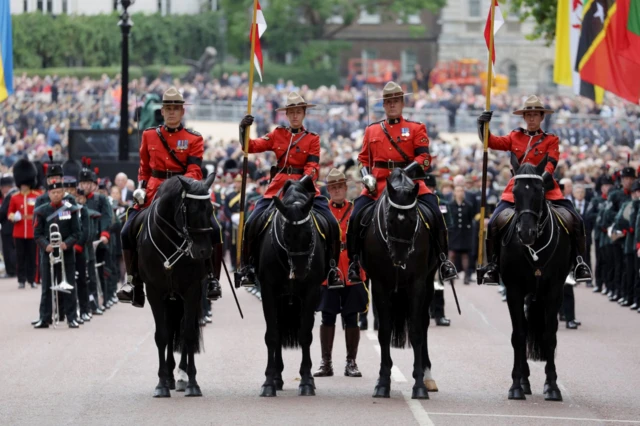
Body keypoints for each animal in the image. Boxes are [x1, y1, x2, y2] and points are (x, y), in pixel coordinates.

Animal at [134, 174, 216, 400]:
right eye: (191, 210)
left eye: (210, 210)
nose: (204, 251)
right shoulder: (154, 292)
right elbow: (162, 335)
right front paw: (162, 383)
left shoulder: (191, 291)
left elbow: (188, 334)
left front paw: (192, 383)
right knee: (170, 330)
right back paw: (170, 377)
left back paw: (181, 375)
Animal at [254, 179, 328, 396]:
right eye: (286, 234)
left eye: (310, 233)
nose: (302, 272)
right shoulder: (268, 292)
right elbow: (272, 335)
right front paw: (268, 382)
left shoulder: (311, 292)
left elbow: (305, 335)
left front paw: (307, 381)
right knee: (277, 332)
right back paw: (277, 378)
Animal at [360, 169, 440, 400]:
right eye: (390, 219)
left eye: (413, 219)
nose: (399, 257)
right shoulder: (379, 284)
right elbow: (384, 331)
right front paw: (383, 382)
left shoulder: (418, 283)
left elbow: (416, 331)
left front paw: (419, 384)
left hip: (429, 284)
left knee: (423, 324)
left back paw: (428, 376)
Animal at [500, 155, 568, 402]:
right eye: (515, 190)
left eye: (539, 190)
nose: (526, 233)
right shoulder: (514, 290)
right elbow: (519, 335)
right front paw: (516, 385)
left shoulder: (555, 291)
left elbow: (549, 336)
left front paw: (552, 386)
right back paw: (524, 381)